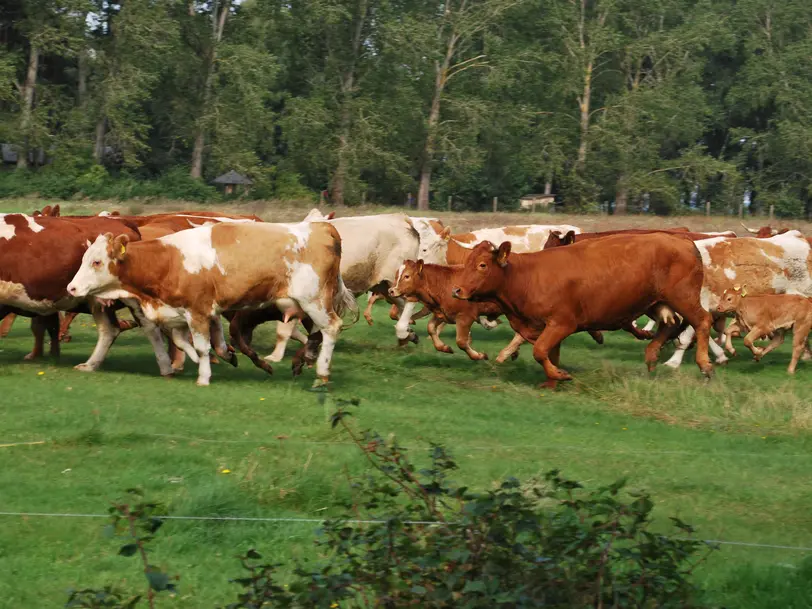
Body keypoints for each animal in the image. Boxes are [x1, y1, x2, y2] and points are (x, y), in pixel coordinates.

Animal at [388, 260, 528, 364]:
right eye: (396, 275)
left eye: (407, 276)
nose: (391, 290)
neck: (443, 284)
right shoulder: (443, 314)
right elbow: (431, 328)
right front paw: (444, 348)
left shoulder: (465, 317)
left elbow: (461, 341)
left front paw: (479, 356)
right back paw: (511, 353)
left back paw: (504, 355)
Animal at [450, 235, 712, 388]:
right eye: (468, 262)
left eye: (482, 265)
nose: (457, 290)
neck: (526, 276)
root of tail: (685, 242)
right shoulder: (546, 327)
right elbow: (550, 353)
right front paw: (552, 381)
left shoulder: (562, 323)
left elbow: (539, 351)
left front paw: (560, 376)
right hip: (656, 302)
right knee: (670, 324)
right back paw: (651, 355)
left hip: (683, 298)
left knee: (702, 321)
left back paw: (705, 365)